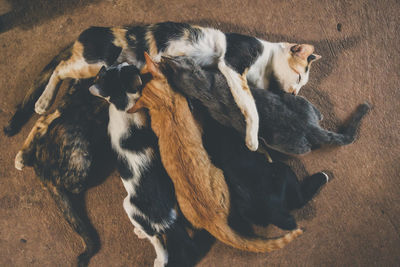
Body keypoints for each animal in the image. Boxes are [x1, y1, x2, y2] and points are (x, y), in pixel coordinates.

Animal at [3, 21, 322, 153]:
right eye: (299, 79)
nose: (294, 93)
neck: (264, 62)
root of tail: (85, 33)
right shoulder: (232, 63)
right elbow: (250, 106)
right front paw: (252, 138)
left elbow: (250, 98)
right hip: (91, 62)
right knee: (59, 68)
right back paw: (42, 101)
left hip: (89, 74)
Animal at [89, 63, 198, 267]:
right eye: (122, 66)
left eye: (111, 70)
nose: (131, 63)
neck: (124, 106)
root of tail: (166, 218)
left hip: (129, 206)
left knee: (157, 239)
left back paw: (158, 256)